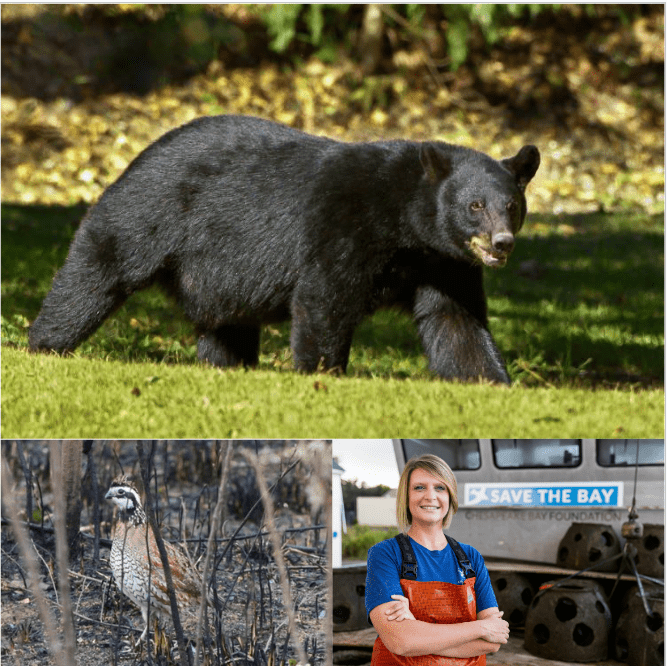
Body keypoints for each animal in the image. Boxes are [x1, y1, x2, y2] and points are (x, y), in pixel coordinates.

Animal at [31, 113, 540, 382]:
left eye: (512, 205)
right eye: (475, 205)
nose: (502, 242)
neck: (406, 223)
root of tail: (139, 154)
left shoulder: (443, 261)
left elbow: (455, 320)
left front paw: (492, 381)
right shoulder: (345, 225)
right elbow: (325, 299)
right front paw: (323, 375)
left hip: (218, 274)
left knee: (226, 324)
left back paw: (227, 366)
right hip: (150, 211)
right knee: (99, 269)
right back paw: (45, 344)